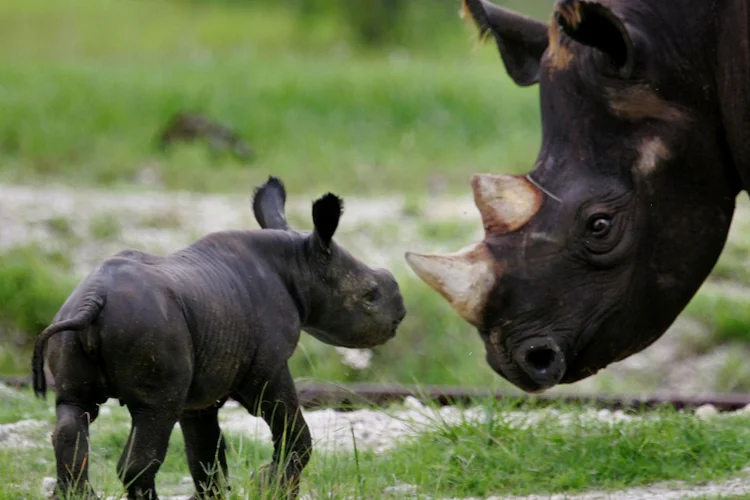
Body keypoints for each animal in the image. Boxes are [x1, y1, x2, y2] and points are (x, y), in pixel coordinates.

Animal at [32, 177, 408, 500]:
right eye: (370, 295)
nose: (401, 315)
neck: (301, 265)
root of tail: (93, 299)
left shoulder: (203, 386)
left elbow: (205, 449)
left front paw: (223, 493)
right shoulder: (268, 366)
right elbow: (293, 430)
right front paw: (270, 485)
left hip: (74, 324)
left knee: (75, 411)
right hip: (151, 327)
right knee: (153, 414)